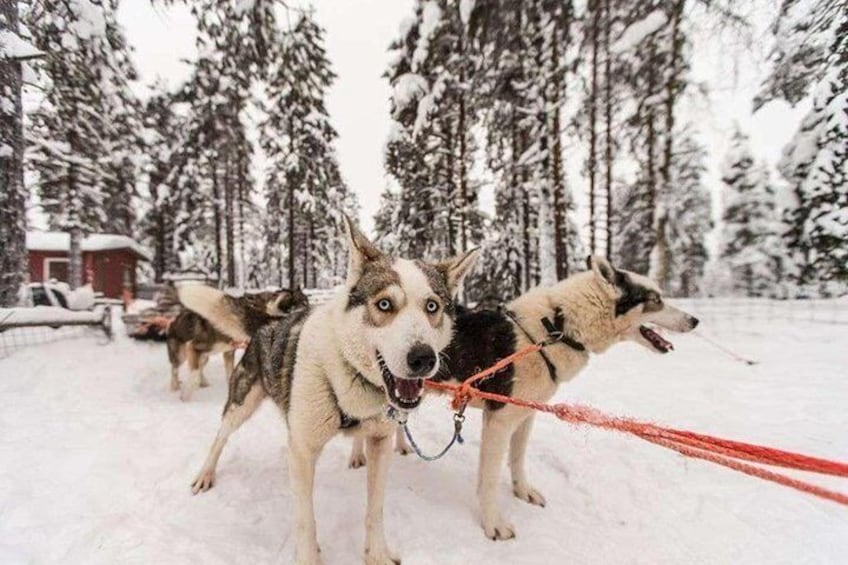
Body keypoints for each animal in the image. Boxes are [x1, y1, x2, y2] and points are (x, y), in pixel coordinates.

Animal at [170, 286, 308, 400]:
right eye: (273, 295)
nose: (286, 290)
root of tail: (173, 321)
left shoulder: (228, 353)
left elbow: (228, 374)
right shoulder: (194, 347)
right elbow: (194, 374)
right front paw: (185, 395)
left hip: (204, 357)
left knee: (200, 368)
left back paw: (203, 383)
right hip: (182, 355)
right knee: (176, 369)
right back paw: (174, 386)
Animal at [188, 217, 476, 564]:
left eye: (432, 306)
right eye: (384, 304)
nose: (423, 358)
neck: (350, 378)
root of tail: (271, 320)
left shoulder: (381, 443)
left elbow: (375, 509)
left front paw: (376, 554)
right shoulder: (302, 451)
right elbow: (305, 519)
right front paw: (309, 555)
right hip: (241, 403)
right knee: (220, 436)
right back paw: (206, 474)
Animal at [412, 256, 696, 536]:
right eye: (655, 299)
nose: (694, 320)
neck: (556, 328)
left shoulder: (525, 415)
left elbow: (517, 459)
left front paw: (522, 491)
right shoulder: (499, 421)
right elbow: (489, 480)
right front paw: (493, 523)